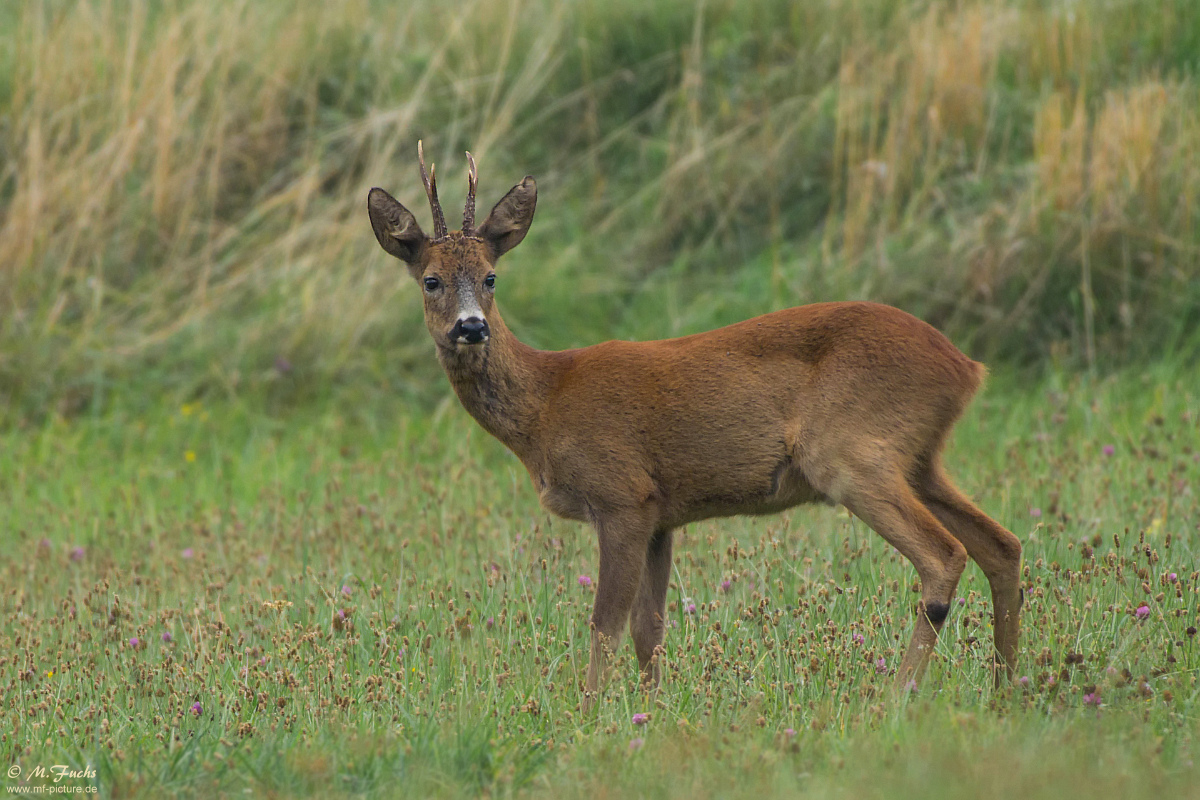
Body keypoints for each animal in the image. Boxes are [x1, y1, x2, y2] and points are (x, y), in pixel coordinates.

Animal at [364, 143, 1022, 705]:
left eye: (491, 278)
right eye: (431, 280)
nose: (472, 327)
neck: (546, 405)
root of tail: (967, 367)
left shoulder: (623, 495)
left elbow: (604, 625)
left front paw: (587, 716)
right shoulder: (662, 515)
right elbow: (648, 631)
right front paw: (652, 715)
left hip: (851, 452)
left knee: (944, 555)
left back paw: (896, 698)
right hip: (919, 458)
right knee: (1002, 544)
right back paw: (1005, 689)